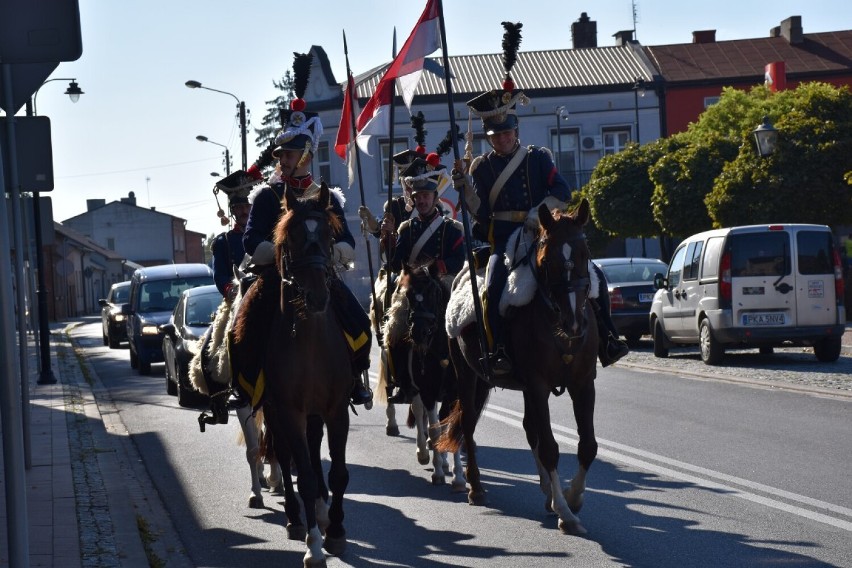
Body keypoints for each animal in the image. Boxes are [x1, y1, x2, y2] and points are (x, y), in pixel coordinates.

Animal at [440, 197, 600, 536]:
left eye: (585, 254)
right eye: (547, 258)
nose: (574, 323)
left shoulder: (582, 383)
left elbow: (587, 445)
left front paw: (571, 497)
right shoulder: (538, 385)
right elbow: (551, 447)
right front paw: (566, 512)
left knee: (529, 429)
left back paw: (546, 492)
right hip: (467, 374)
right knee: (469, 424)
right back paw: (475, 487)